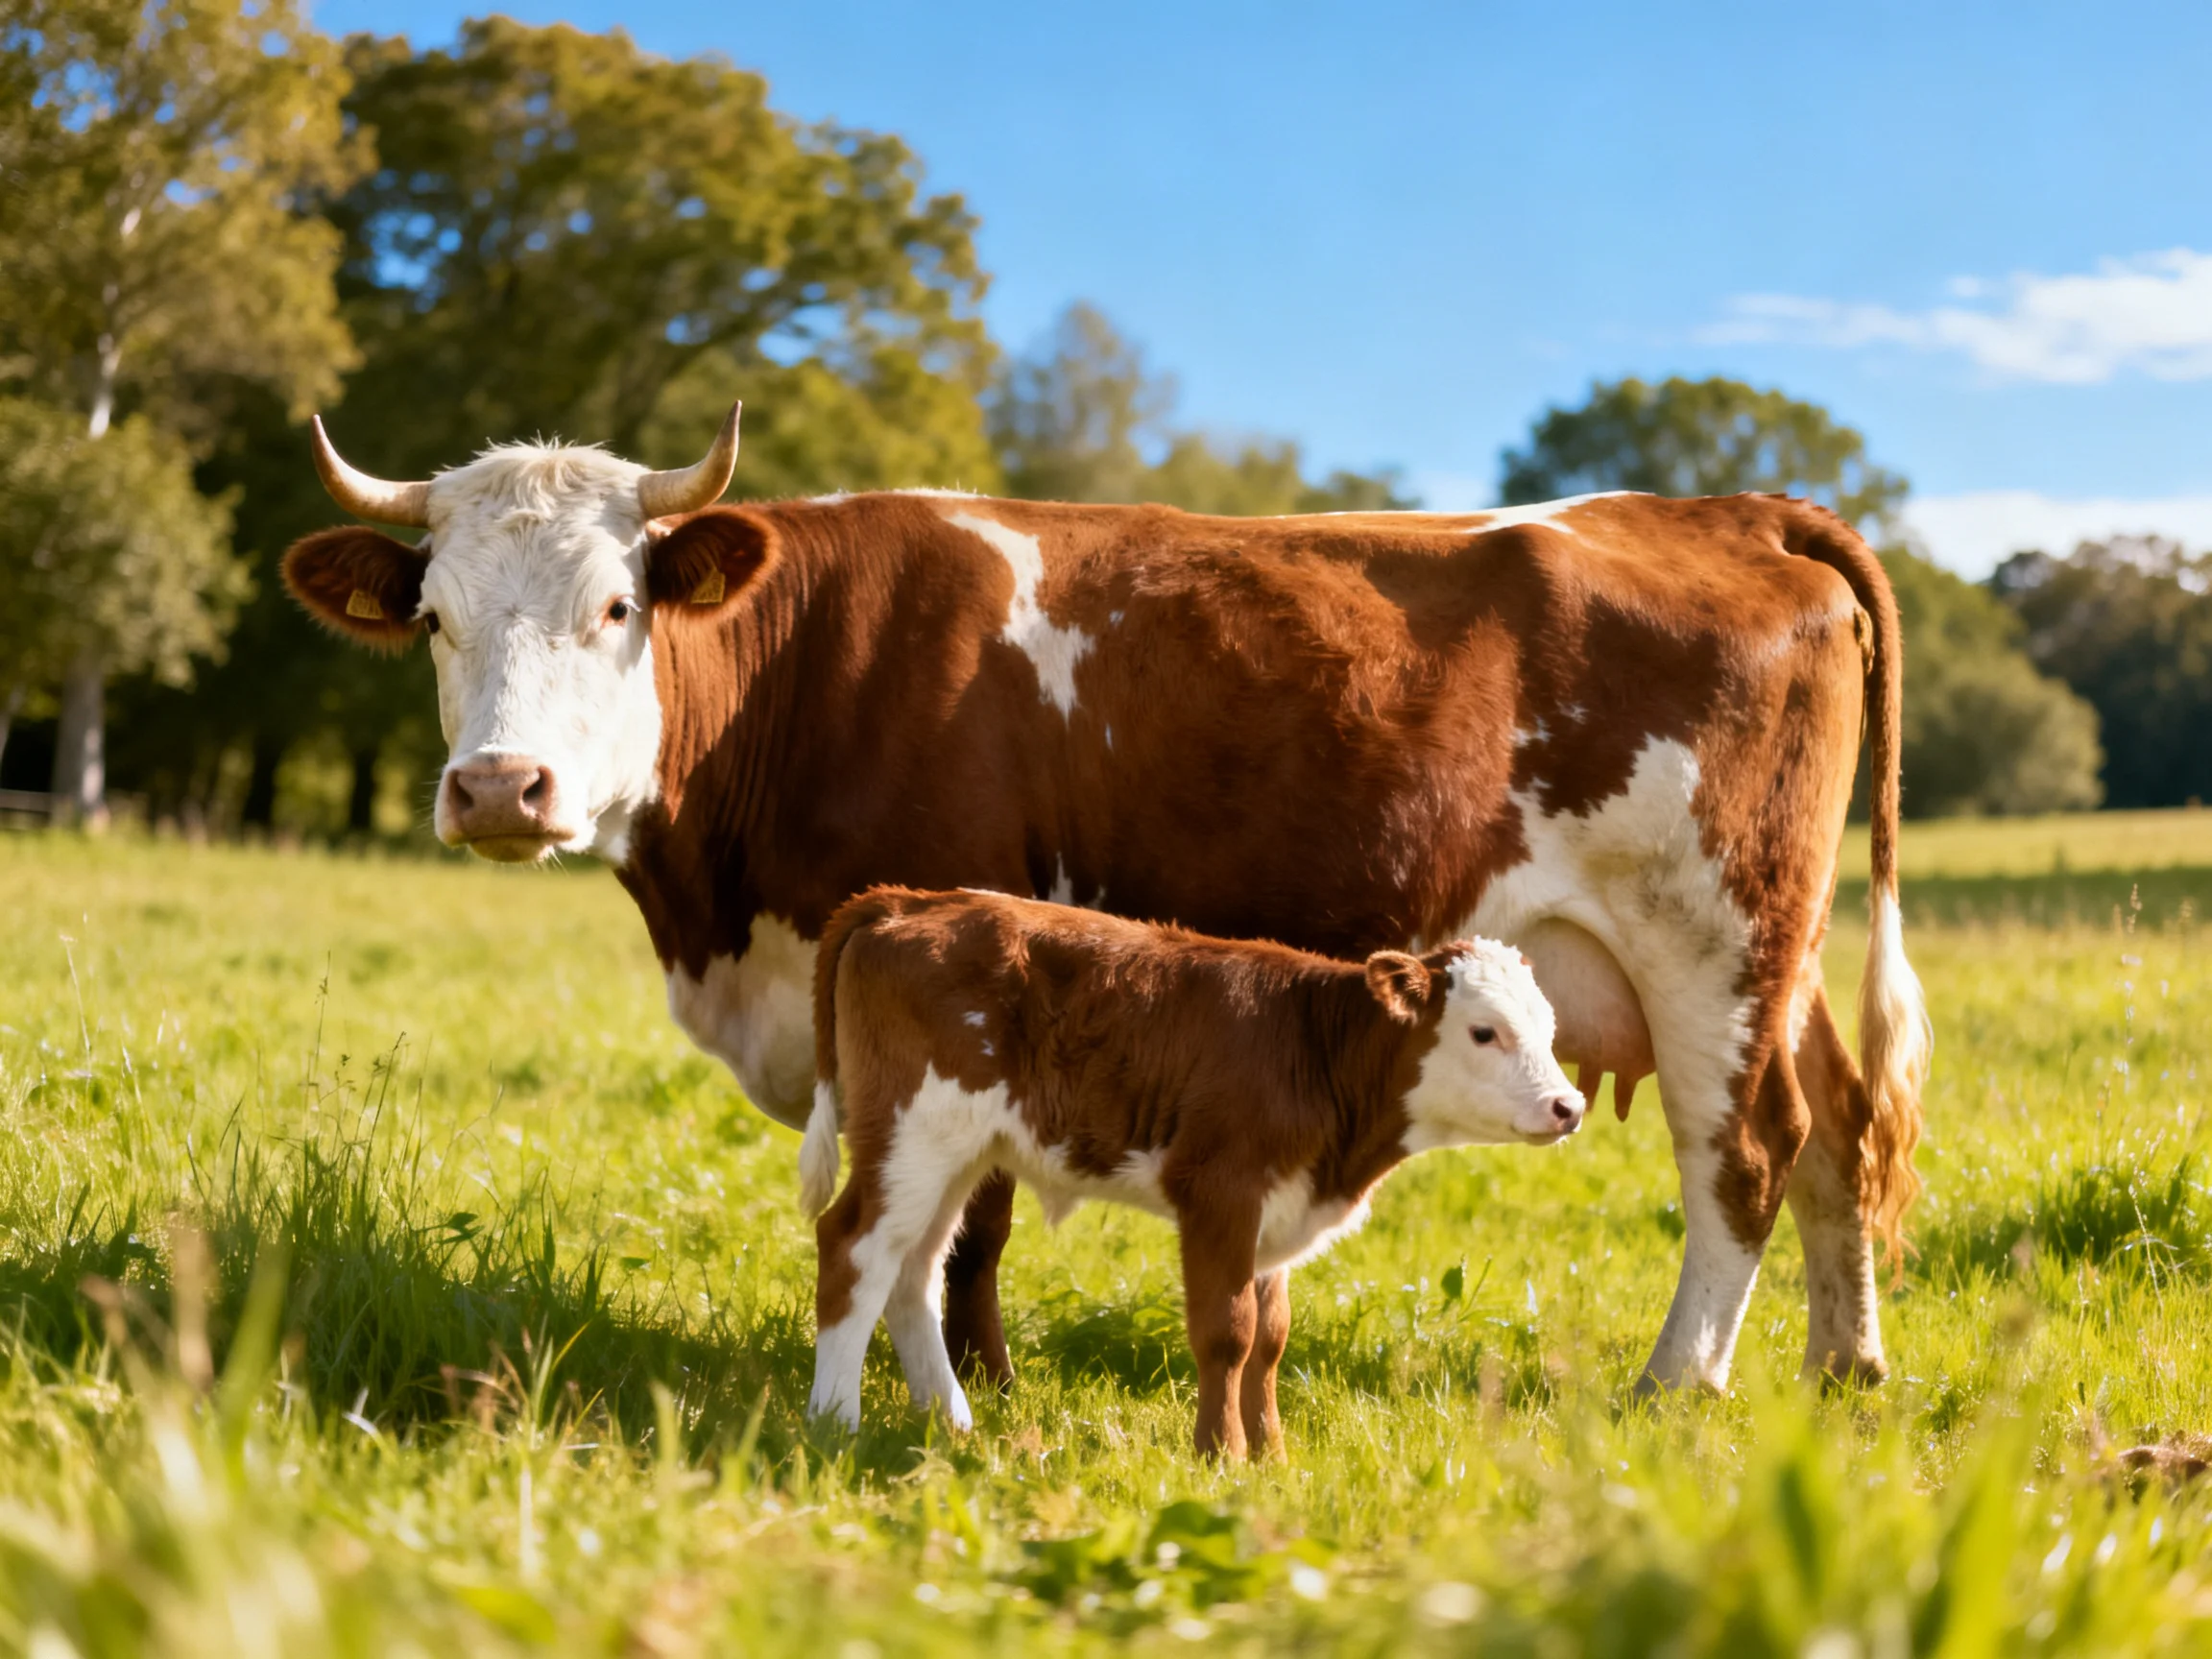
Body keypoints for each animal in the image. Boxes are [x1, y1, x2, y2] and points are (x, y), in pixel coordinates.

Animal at [282, 402, 1930, 1397]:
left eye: (617, 605)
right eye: (434, 619)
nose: (502, 789)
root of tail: (1731, 509)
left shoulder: (972, 965)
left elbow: (973, 1223)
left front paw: (979, 1388)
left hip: (1711, 938)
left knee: (1745, 1155)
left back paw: (1675, 1386)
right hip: (1770, 956)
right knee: (1840, 1134)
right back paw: (1846, 1368)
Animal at [801, 887, 1582, 1457]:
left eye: (1548, 1031)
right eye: (1484, 1032)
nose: (1568, 1106)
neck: (1310, 1047)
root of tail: (909, 901)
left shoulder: (1278, 1207)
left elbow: (1270, 1340)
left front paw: (1273, 1454)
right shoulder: (1219, 1192)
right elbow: (1227, 1333)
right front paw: (1222, 1454)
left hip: (953, 1154)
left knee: (911, 1270)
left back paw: (951, 1421)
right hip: (913, 1133)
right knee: (853, 1249)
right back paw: (836, 1421)